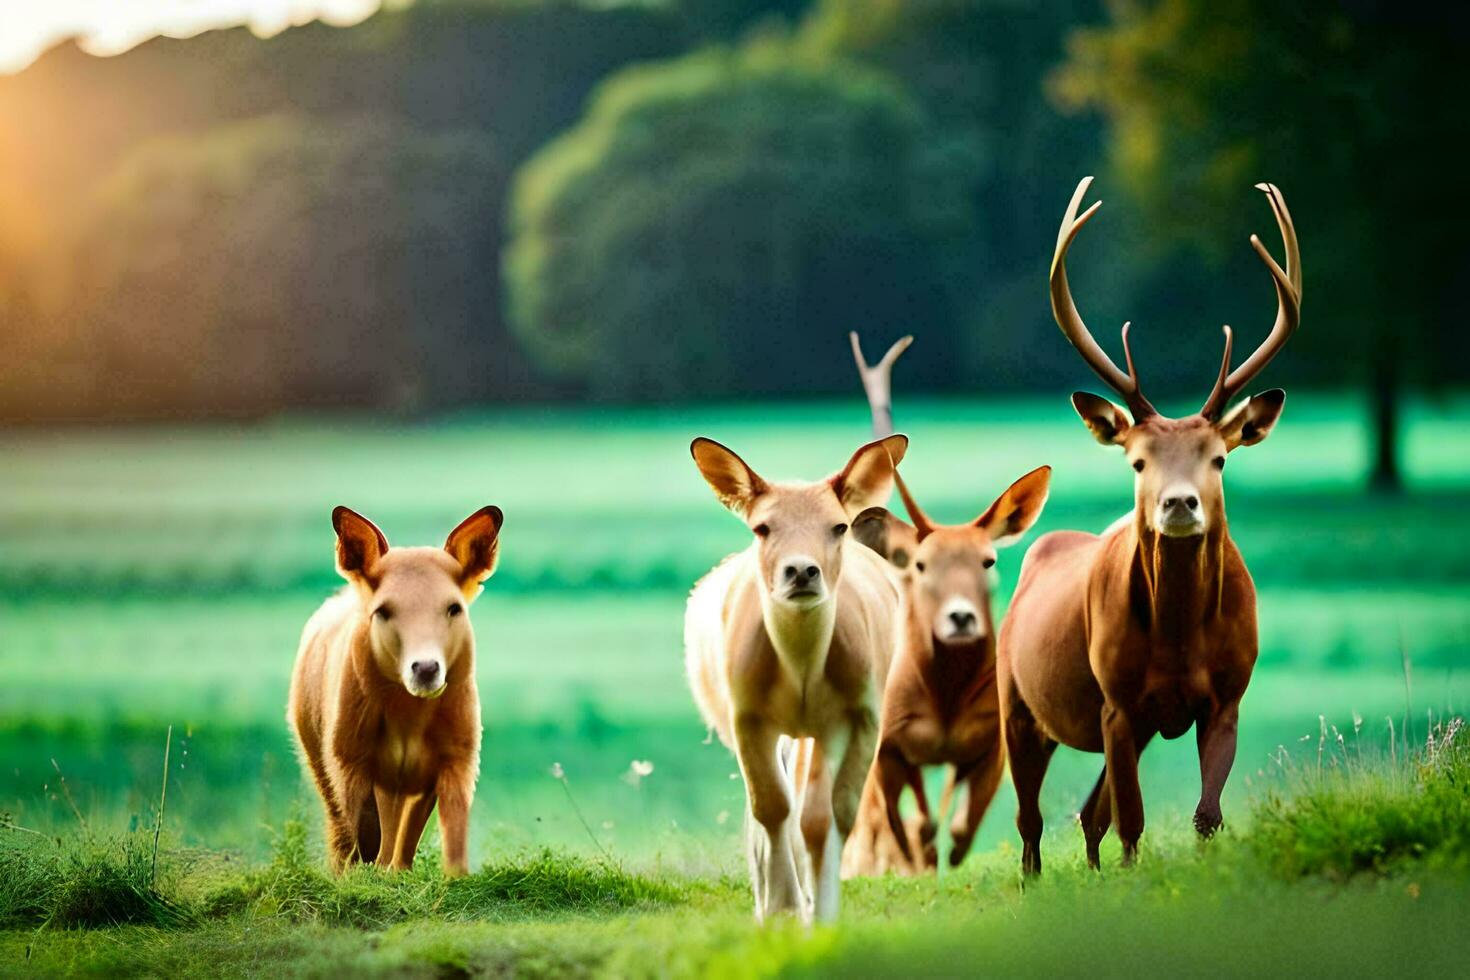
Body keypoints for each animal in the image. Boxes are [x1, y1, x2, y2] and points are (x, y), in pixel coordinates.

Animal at [286, 505, 505, 875]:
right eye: (383, 611)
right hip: (317, 754)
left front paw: (450, 876)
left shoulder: (457, 758)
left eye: (454, 608)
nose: (426, 668)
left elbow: (444, 829)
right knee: (340, 823)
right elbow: (360, 826)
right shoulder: (348, 757)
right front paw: (360, 874)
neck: (408, 713)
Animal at [685, 431, 905, 922]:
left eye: (838, 527)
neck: (801, 668)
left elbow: (829, 815)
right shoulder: (746, 715)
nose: (802, 571)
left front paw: (820, 913)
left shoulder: (858, 714)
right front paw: (782, 909)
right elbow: (771, 806)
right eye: (761, 528)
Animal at [846, 333, 1052, 869]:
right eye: (921, 566)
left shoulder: (991, 741)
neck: (943, 703)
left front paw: (949, 851)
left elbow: (961, 827)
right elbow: (908, 821)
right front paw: (913, 854)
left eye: (988, 561)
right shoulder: (887, 746)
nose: (960, 618)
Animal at [999, 176, 1299, 875]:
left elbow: (1206, 814)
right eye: (1138, 460)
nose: (1180, 505)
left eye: (1219, 458)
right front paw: (1133, 882)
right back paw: (1034, 880)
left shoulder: (1227, 696)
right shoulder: (1116, 700)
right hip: (1015, 700)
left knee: (1088, 814)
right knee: (1032, 820)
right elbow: (1132, 820)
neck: (1180, 638)